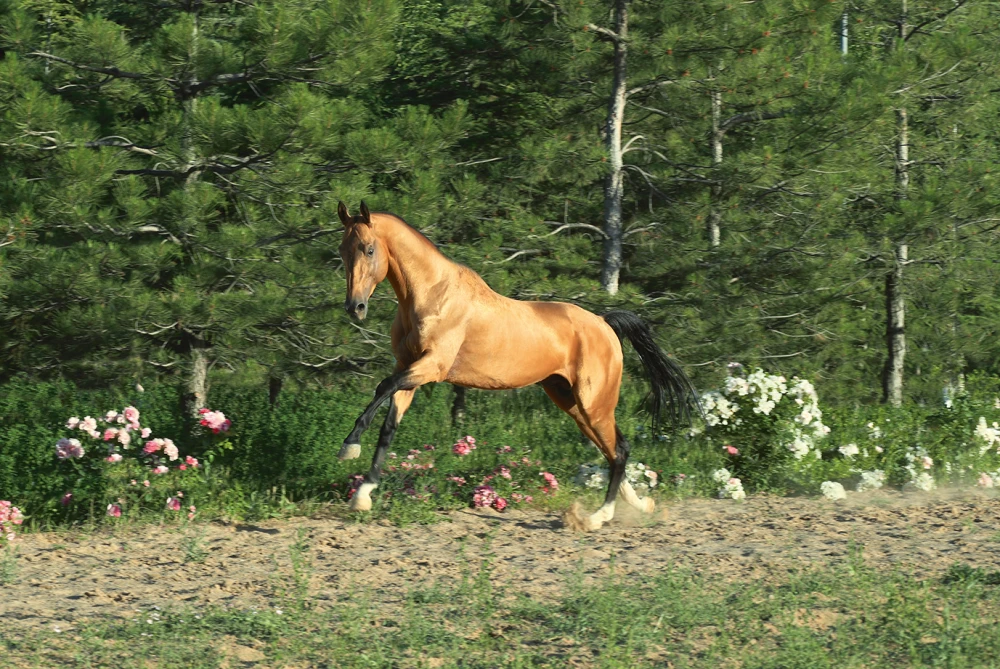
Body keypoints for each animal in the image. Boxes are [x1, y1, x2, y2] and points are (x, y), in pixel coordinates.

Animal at [336, 201, 696, 528]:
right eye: (342, 250)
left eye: (369, 249)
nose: (355, 307)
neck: (432, 297)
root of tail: (604, 323)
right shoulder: (409, 369)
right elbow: (388, 428)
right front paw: (363, 496)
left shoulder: (431, 368)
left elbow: (382, 387)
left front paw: (349, 447)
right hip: (570, 401)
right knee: (613, 449)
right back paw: (640, 505)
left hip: (594, 403)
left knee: (618, 451)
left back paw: (597, 518)